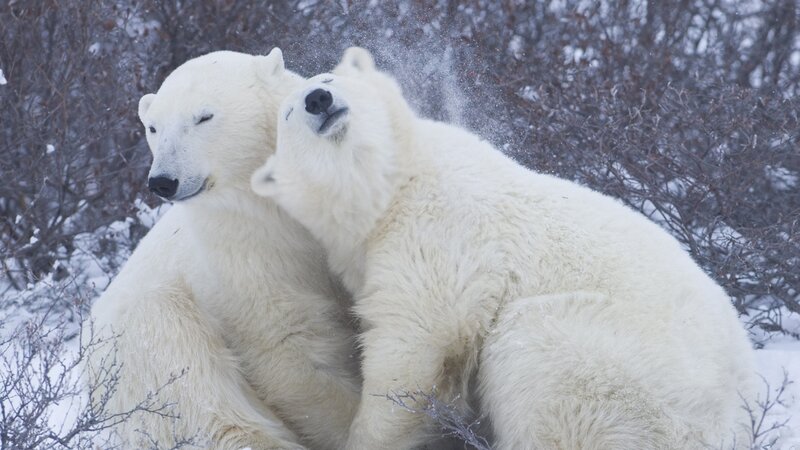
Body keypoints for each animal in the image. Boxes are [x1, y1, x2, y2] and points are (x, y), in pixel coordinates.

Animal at [85, 48, 361, 450]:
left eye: (203, 117)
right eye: (153, 128)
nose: (163, 181)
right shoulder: (244, 255)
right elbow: (290, 347)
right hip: (144, 348)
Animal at [251, 47, 758, 450]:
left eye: (329, 79)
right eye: (288, 114)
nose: (318, 100)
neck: (394, 187)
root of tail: (733, 423)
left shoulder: (438, 233)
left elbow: (414, 344)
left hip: (620, 370)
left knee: (535, 359)